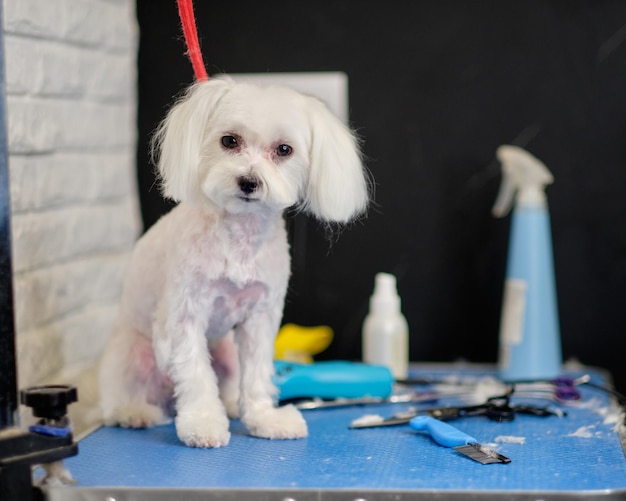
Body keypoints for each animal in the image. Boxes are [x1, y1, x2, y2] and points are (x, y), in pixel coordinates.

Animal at [99, 77, 368, 446]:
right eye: (229, 141)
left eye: (284, 149)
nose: (249, 181)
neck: (241, 236)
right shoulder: (185, 315)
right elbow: (196, 376)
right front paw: (202, 423)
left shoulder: (260, 317)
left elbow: (256, 375)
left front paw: (264, 419)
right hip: (135, 354)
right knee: (122, 397)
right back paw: (134, 412)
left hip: (225, 351)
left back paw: (229, 405)